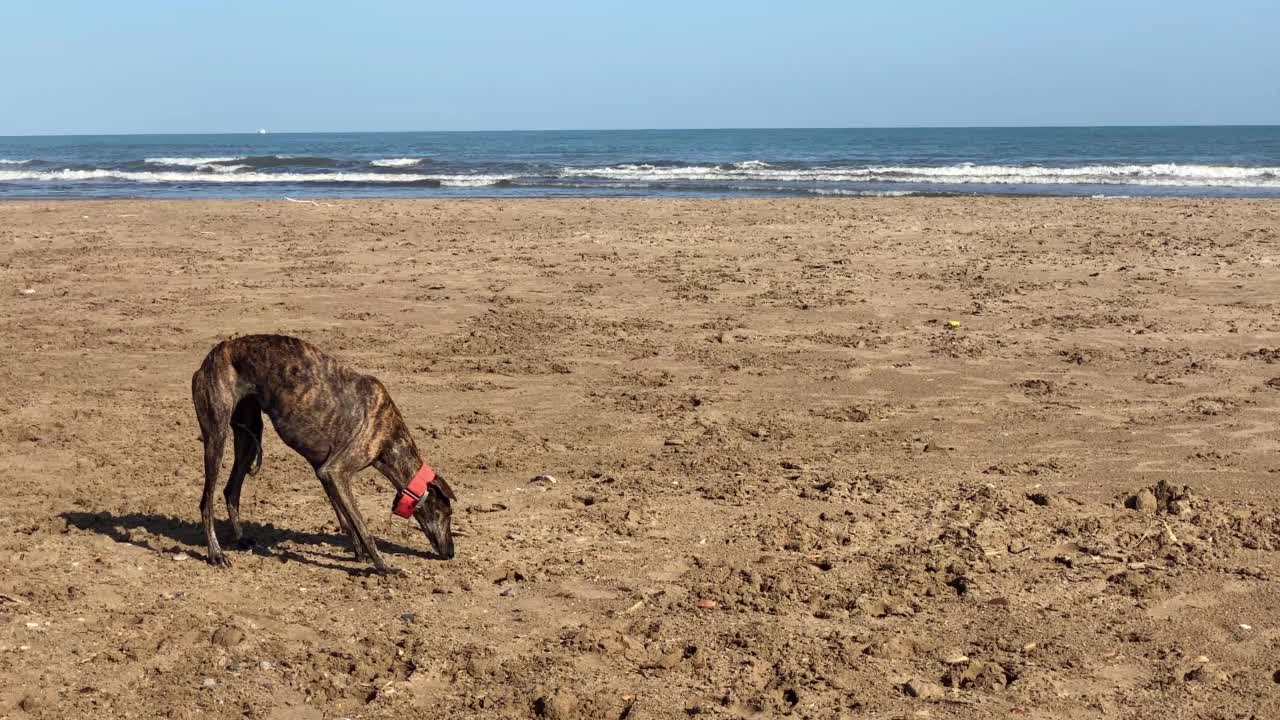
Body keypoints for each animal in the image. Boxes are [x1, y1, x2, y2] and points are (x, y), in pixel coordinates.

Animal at [186, 333, 453, 571]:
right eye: (448, 513)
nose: (451, 553)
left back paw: (241, 539)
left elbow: (346, 519)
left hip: (249, 437)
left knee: (231, 490)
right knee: (206, 501)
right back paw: (216, 554)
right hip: (217, 436)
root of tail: (209, 359)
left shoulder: (323, 471)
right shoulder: (336, 471)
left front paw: (359, 554)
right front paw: (383, 565)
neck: (391, 436)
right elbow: (361, 525)